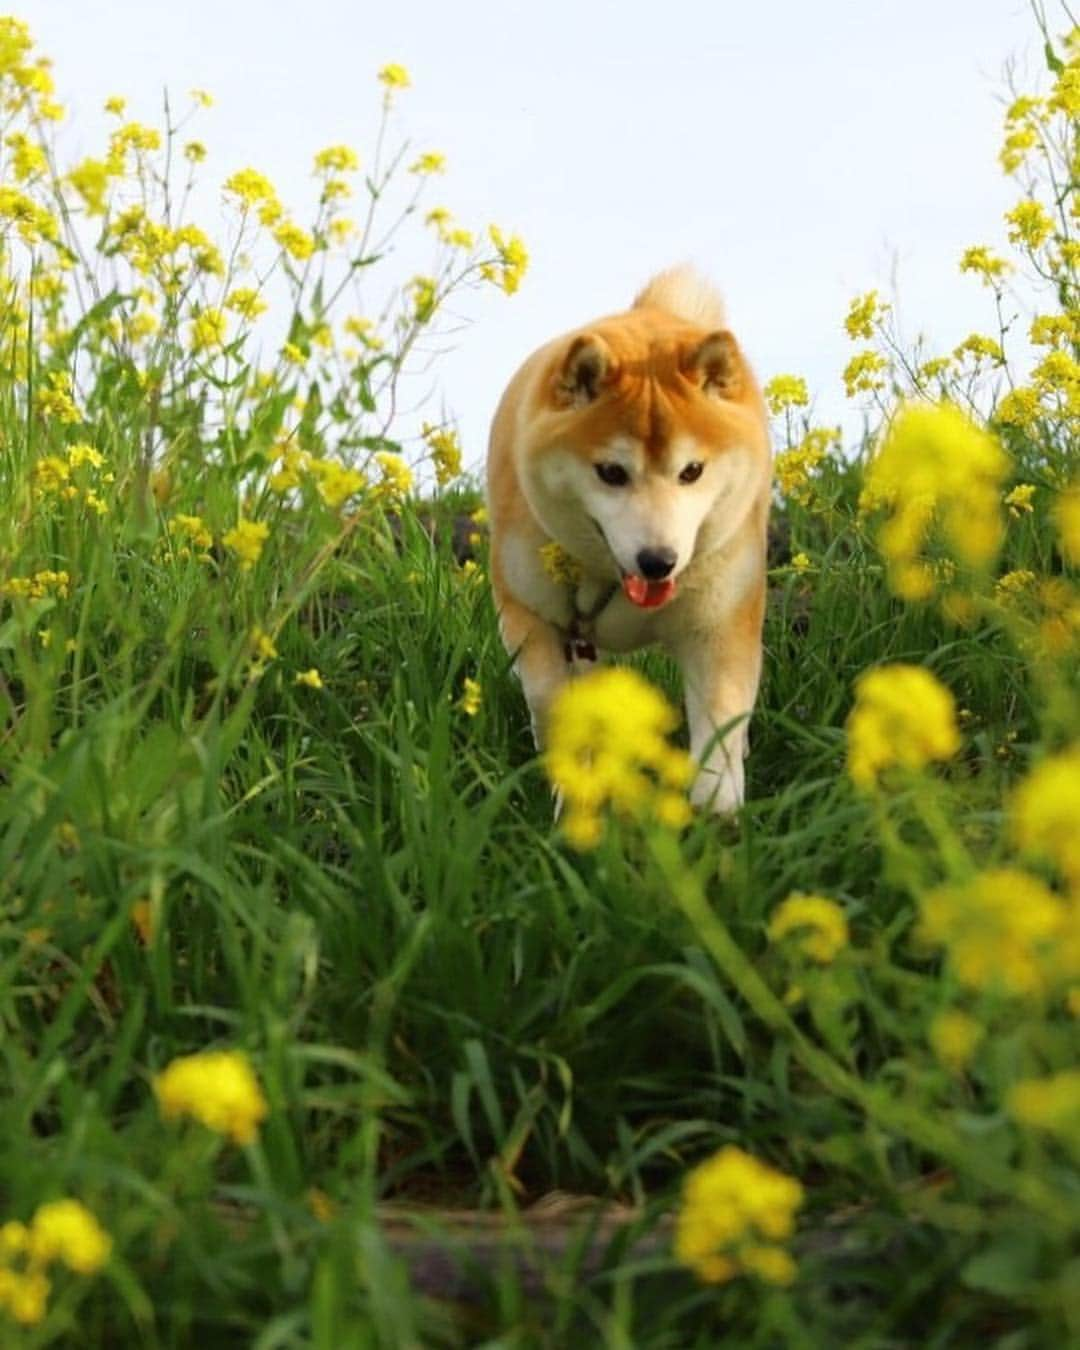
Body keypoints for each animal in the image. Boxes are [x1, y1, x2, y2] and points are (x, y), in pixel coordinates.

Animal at [486, 265, 772, 810]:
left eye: (692, 471)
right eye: (611, 473)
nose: (658, 560)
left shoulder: (717, 623)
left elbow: (720, 720)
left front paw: (715, 809)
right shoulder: (532, 617)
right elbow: (551, 702)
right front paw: (573, 788)